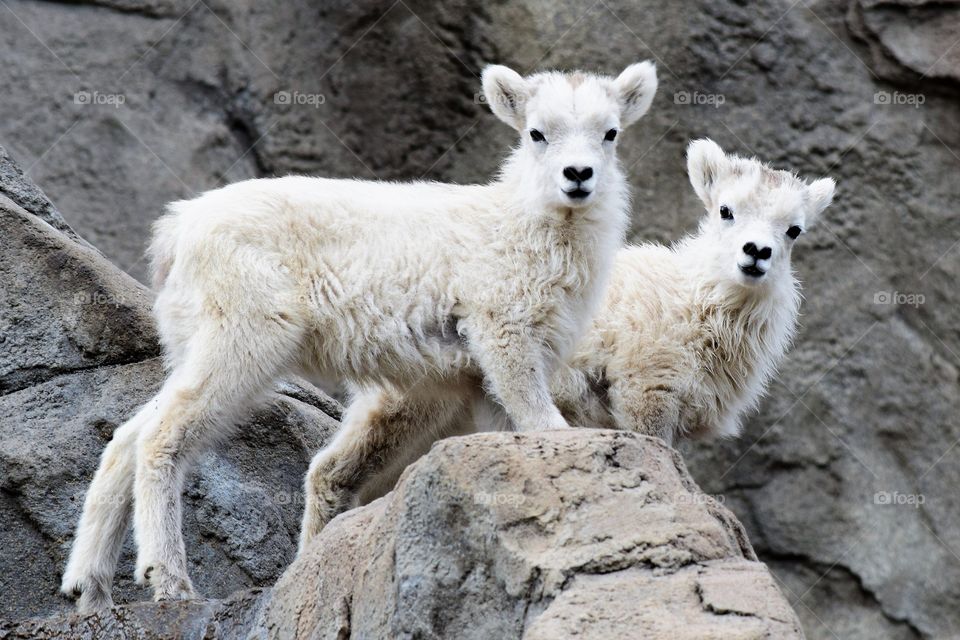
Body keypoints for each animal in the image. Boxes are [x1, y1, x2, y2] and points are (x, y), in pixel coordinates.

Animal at [60, 61, 659, 611]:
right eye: (537, 132)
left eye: (610, 133)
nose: (578, 175)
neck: (521, 229)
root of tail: (177, 231)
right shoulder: (503, 334)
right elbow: (543, 422)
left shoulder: (481, 379)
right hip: (241, 336)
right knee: (163, 434)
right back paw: (167, 581)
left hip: (195, 342)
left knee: (129, 434)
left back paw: (89, 588)